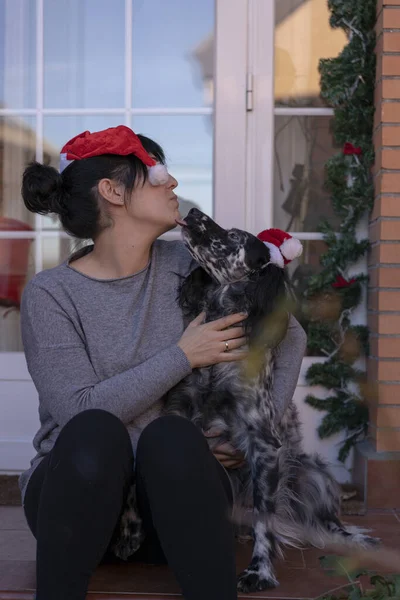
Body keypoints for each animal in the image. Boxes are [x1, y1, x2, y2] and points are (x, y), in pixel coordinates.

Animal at [113, 210, 378, 592]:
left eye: (236, 238)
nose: (193, 213)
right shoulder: (176, 414)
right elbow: (136, 473)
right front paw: (129, 530)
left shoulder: (263, 443)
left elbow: (264, 520)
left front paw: (259, 571)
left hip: (311, 474)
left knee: (327, 523)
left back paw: (357, 540)